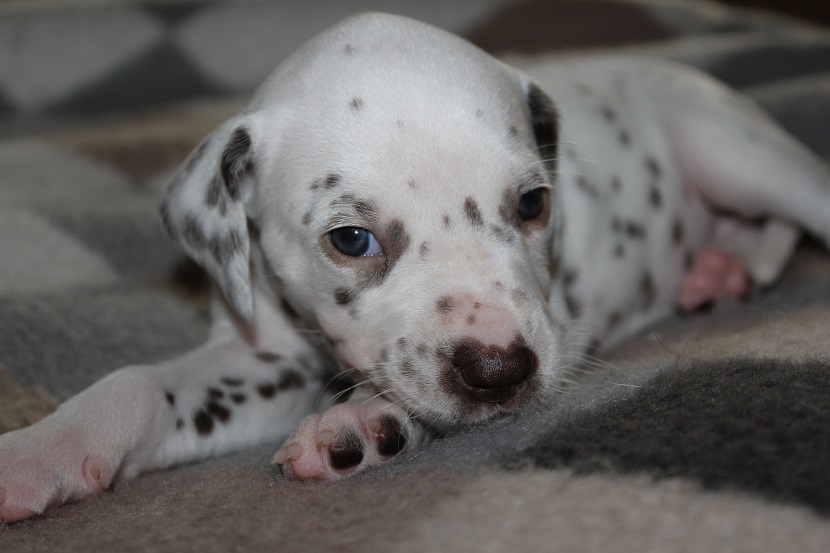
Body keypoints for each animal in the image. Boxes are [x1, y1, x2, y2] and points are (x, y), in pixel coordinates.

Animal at [1, 12, 828, 522]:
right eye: (351, 239)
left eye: (533, 202)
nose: (501, 369)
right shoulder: (260, 359)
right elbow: (139, 384)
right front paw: (41, 449)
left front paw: (365, 419)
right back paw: (718, 272)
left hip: (740, 153)